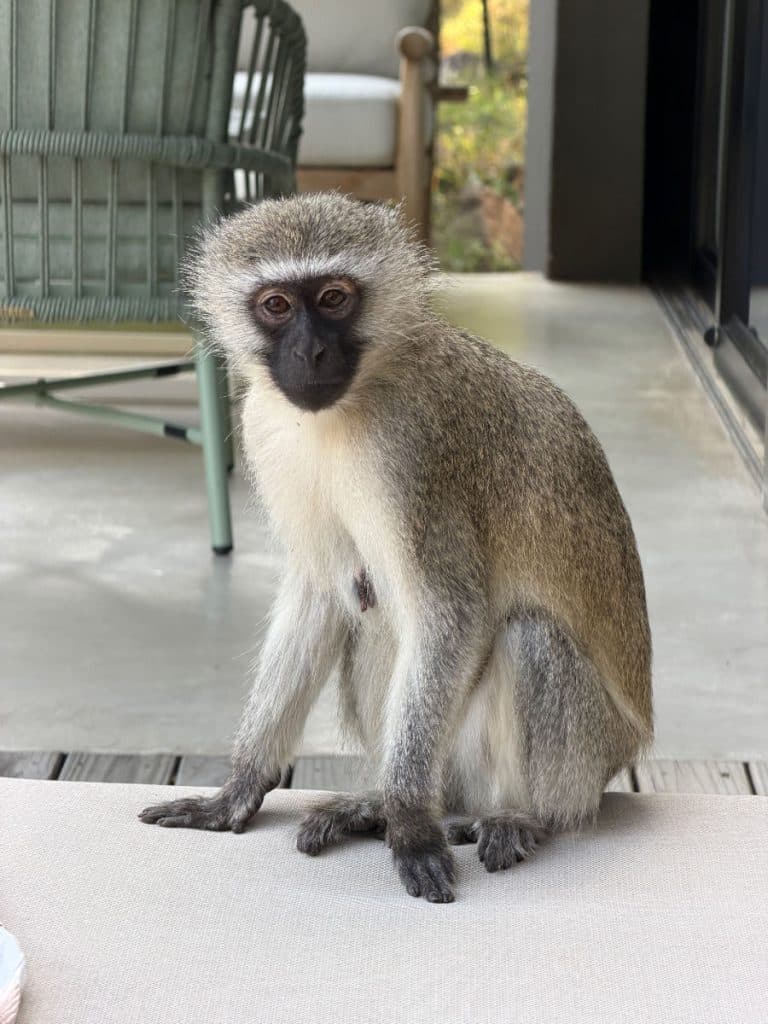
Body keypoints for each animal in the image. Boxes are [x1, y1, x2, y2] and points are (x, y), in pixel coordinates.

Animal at [139, 192, 653, 904]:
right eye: (277, 305)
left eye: (333, 298)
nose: (311, 353)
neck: (348, 403)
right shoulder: (264, 424)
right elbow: (321, 594)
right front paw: (240, 787)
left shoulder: (413, 450)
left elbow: (450, 613)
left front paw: (410, 822)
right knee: (366, 612)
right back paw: (380, 806)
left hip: (587, 756)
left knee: (530, 637)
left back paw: (512, 816)